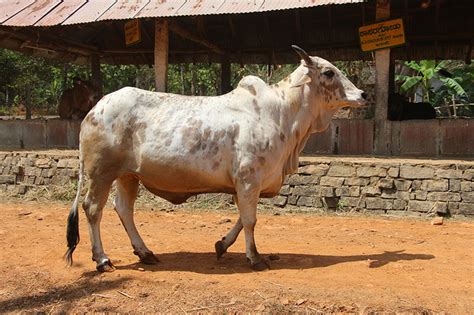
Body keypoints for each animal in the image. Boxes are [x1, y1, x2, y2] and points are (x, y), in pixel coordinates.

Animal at [64, 45, 366, 272]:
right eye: (329, 72)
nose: (363, 94)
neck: (282, 114)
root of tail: (94, 109)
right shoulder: (248, 179)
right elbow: (250, 219)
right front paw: (255, 258)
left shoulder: (247, 184)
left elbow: (242, 218)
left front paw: (222, 245)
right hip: (101, 173)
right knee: (93, 209)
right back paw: (102, 259)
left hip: (128, 175)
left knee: (124, 210)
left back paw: (145, 252)